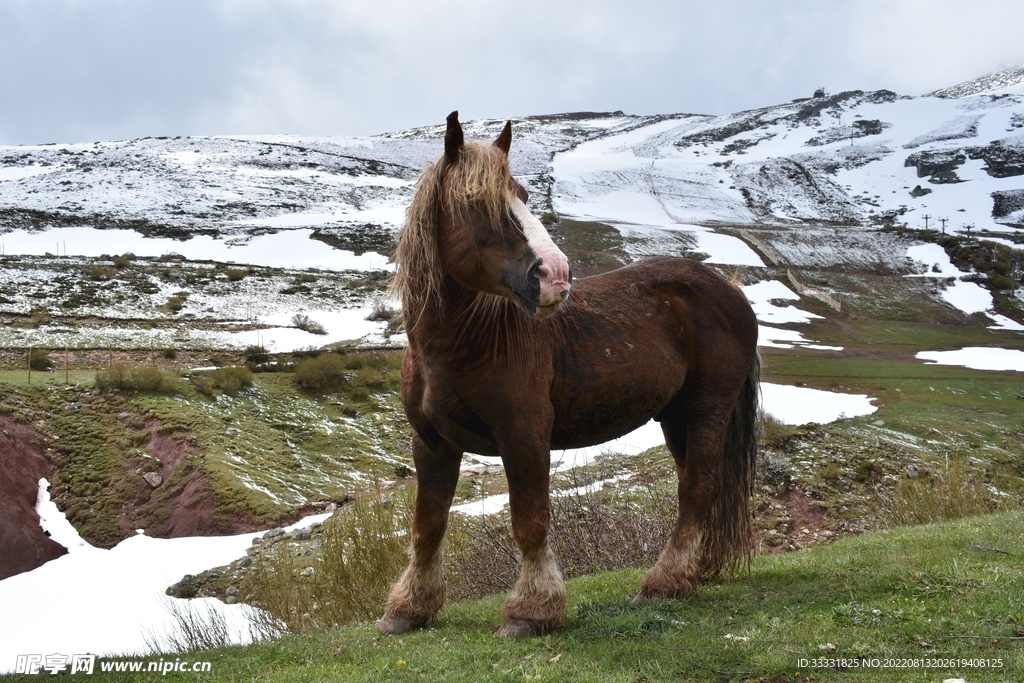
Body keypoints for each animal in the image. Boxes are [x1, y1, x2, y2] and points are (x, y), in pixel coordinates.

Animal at [379, 111, 760, 638]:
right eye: (475, 202)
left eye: (521, 194)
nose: (555, 276)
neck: (462, 346)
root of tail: (729, 290)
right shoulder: (432, 443)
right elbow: (428, 526)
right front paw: (409, 608)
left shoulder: (524, 436)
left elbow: (530, 522)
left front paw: (531, 610)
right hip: (675, 416)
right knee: (698, 487)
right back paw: (692, 574)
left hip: (708, 408)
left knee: (697, 489)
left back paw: (662, 583)